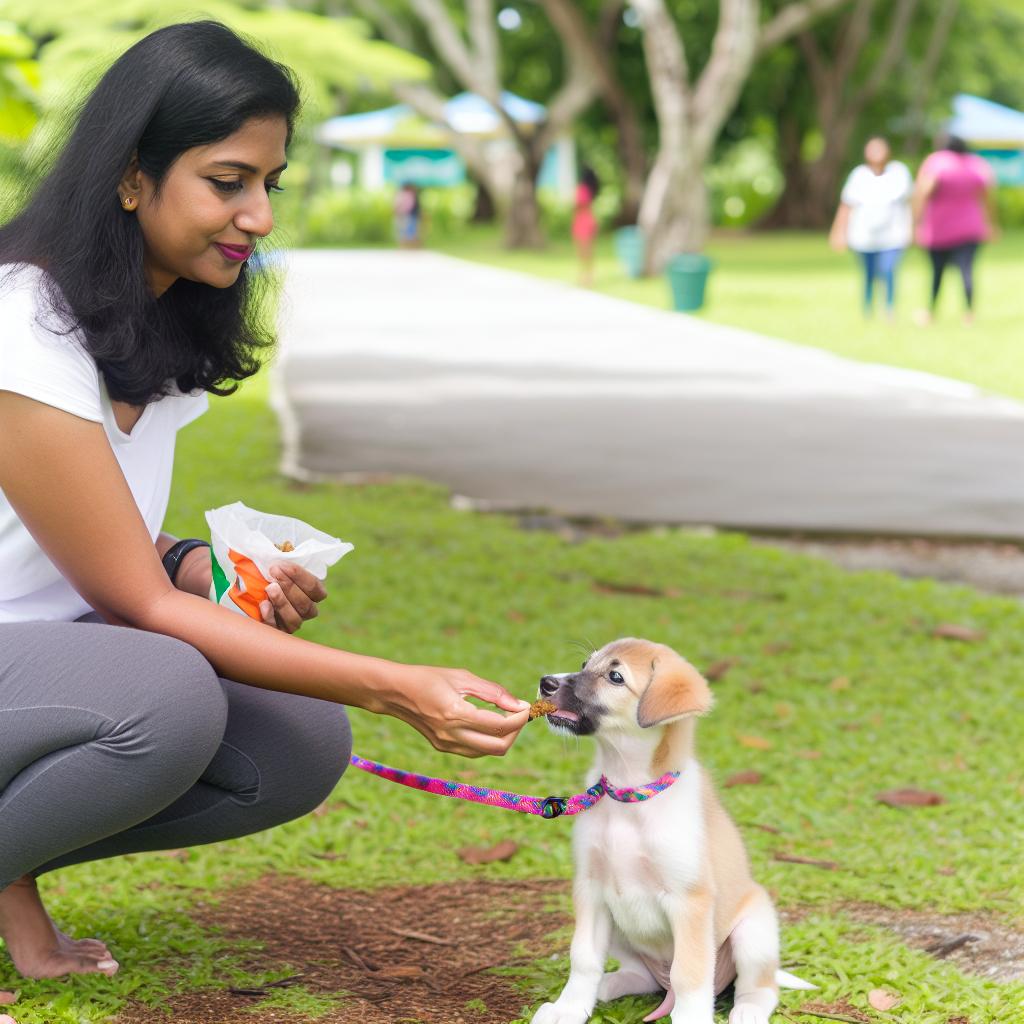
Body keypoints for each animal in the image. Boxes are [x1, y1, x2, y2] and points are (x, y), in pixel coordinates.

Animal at [532, 638, 811, 1024]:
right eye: (586, 663)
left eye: (615, 677)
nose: (545, 682)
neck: (629, 797)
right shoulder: (590, 889)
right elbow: (584, 957)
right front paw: (569, 1008)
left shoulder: (689, 900)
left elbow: (689, 974)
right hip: (620, 928)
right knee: (642, 976)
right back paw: (610, 984)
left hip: (753, 933)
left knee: (760, 987)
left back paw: (748, 1010)